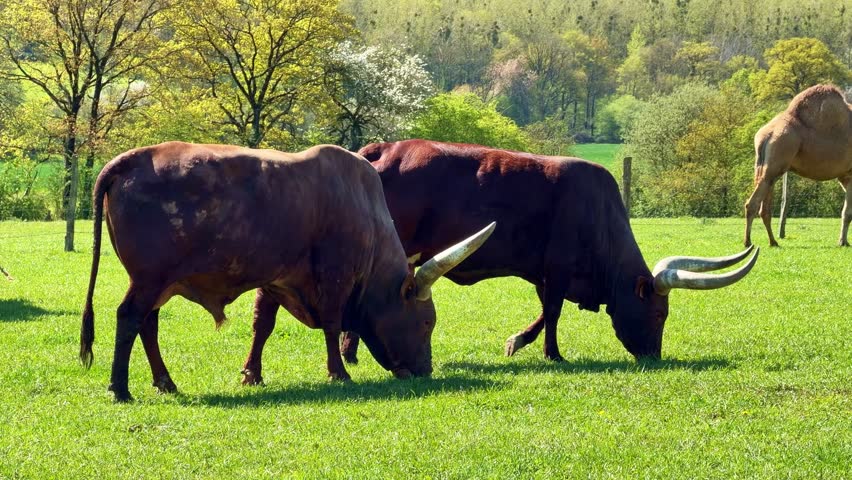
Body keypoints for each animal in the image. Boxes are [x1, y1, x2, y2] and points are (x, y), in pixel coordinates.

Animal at [79, 141, 495, 402]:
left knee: (147, 324)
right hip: (149, 280)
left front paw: (252, 374)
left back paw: (165, 382)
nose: (425, 369)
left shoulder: (275, 278)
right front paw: (338, 372)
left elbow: (262, 325)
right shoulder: (335, 276)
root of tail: (132, 159)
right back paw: (120, 388)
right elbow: (332, 324)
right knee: (129, 318)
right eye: (426, 323)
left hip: (159, 284)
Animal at [338, 140, 759, 364]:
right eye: (658, 314)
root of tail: (383, 150)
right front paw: (551, 353)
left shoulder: (543, 272)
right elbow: (553, 312)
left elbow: (543, 310)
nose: (653, 356)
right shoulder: (558, 268)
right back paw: (349, 349)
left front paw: (518, 341)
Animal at [744, 84, 852, 247]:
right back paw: (748, 242)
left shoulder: (844, 176)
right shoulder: (851, 174)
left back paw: (773, 241)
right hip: (777, 161)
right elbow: (848, 212)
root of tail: (767, 135)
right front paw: (843, 242)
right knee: (753, 204)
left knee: (765, 209)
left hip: (763, 168)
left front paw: (843, 241)